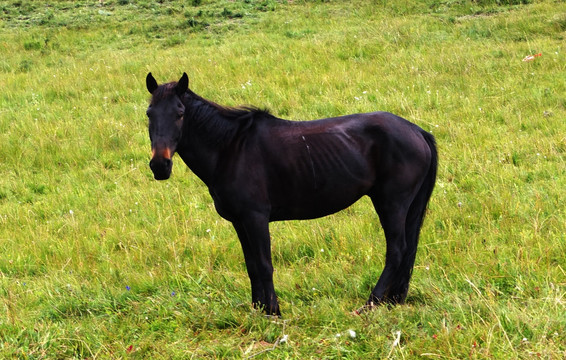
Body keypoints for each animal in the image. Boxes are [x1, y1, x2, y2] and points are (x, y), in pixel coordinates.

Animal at [145, 73, 440, 316]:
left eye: (180, 113)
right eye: (149, 113)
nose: (160, 165)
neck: (231, 149)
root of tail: (417, 131)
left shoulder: (255, 217)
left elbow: (264, 264)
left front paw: (273, 312)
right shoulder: (239, 221)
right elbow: (251, 265)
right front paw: (258, 309)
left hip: (392, 203)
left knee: (397, 251)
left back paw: (371, 303)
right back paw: (392, 301)